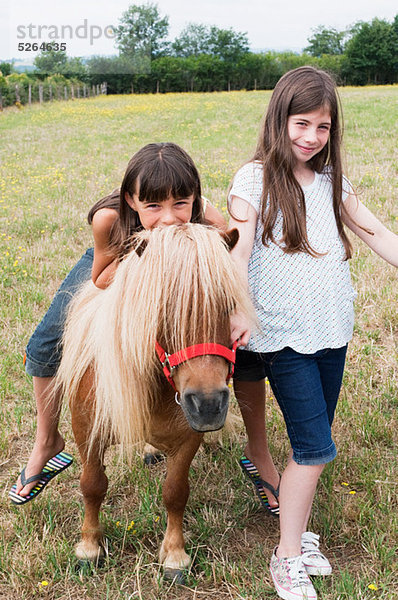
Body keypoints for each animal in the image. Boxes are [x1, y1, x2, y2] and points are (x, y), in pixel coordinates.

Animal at [55, 224, 255, 580]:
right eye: (161, 307)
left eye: (230, 304)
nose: (208, 404)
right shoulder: (86, 430)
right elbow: (92, 485)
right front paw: (89, 547)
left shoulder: (188, 437)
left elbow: (175, 492)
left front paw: (175, 554)